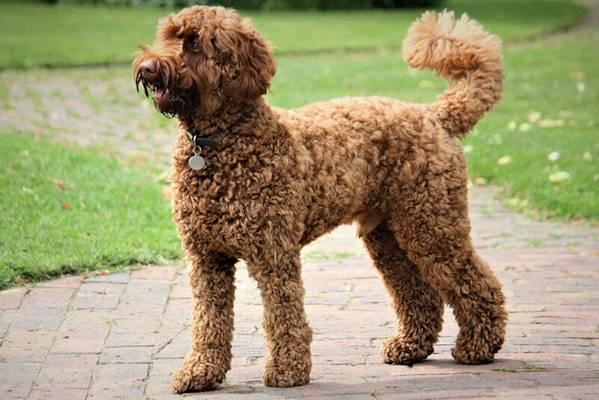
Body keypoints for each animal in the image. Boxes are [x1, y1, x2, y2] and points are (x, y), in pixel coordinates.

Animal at [135, 7, 506, 394]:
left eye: (193, 43)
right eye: (166, 36)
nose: (147, 66)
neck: (218, 141)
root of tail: (434, 115)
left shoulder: (274, 253)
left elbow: (283, 315)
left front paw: (288, 370)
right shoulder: (206, 258)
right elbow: (209, 321)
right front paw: (201, 371)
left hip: (432, 225)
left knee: (477, 283)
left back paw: (478, 346)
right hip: (390, 236)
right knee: (420, 293)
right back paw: (411, 346)